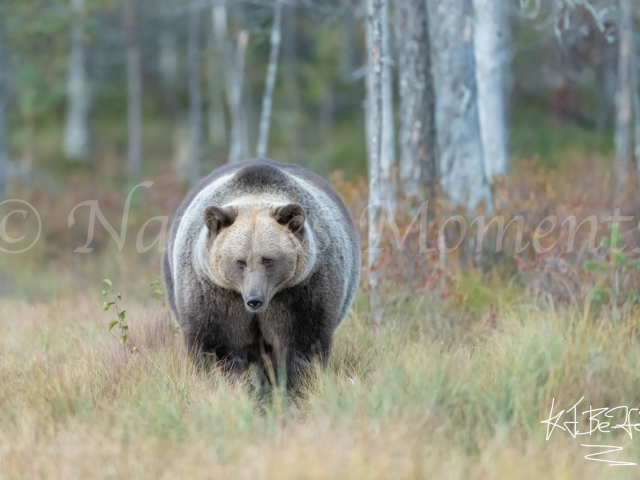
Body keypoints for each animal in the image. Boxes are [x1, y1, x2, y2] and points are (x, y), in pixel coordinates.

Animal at [162, 159, 360, 388]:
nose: (254, 299)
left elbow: (302, 344)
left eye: (268, 260)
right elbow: (214, 345)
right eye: (240, 261)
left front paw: (292, 385)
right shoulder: (214, 293)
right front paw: (224, 381)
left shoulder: (301, 291)